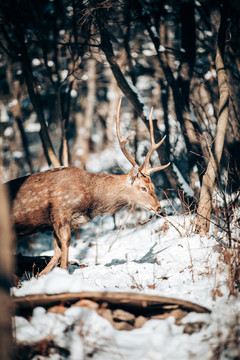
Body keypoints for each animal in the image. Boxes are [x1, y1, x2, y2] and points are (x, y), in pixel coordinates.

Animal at [7, 100, 169, 278]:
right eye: (143, 188)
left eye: (153, 186)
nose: (159, 207)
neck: (90, 201)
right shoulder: (60, 211)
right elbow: (64, 247)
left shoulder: (56, 222)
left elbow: (57, 251)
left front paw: (41, 276)